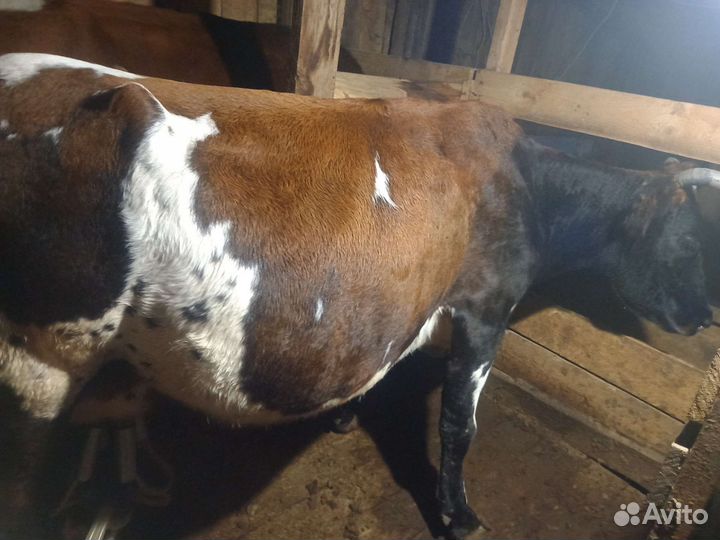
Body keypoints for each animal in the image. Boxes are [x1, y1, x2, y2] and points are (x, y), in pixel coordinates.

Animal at [0, 53, 716, 539]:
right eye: (687, 241)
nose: (701, 319)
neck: (528, 182)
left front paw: (345, 414)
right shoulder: (487, 305)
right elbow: (460, 424)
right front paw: (458, 514)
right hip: (38, 365)